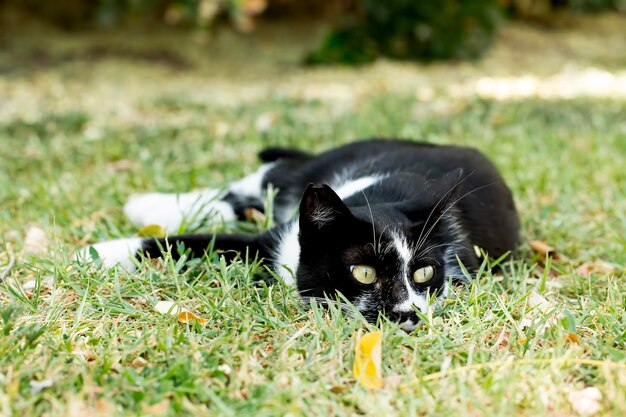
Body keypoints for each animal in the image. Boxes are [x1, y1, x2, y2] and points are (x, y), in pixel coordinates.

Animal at [80, 140, 520, 332]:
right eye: (363, 273)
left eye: (424, 275)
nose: (406, 314)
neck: (378, 196)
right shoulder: (276, 241)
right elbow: (194, 241)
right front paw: (93, 253)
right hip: (308, 169)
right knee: (264, 177)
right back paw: (151, 206)